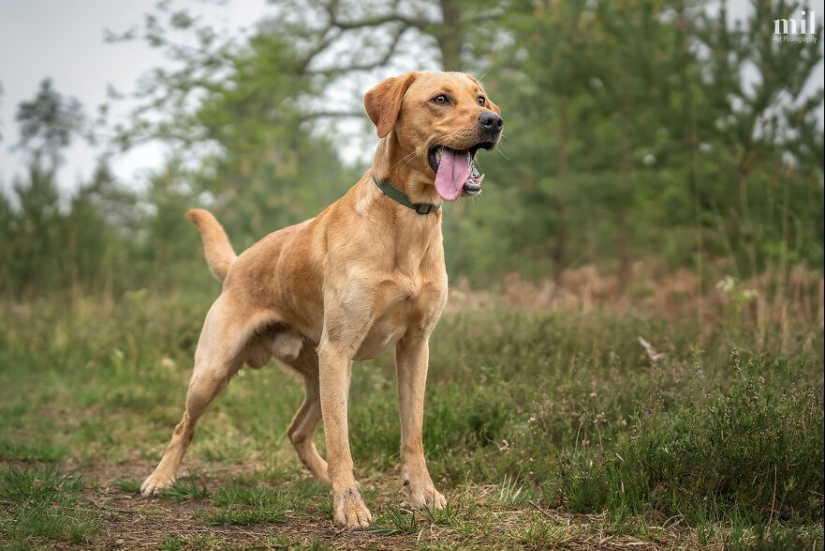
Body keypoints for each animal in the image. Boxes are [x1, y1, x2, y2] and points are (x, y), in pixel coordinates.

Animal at [141, 71, 502, 528]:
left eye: (481, 98)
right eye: (440, 99)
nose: (495, 121)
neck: (406, 220)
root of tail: (237, 264)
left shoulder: (415, 347)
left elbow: (413, 434)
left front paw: (423, 494)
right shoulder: (339, 349)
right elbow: (340, 440)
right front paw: (348, 505)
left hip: (317, 373)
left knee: (297, 430)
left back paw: (325, 478)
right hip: (218, 370)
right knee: (183, 427)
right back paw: (160, 478)